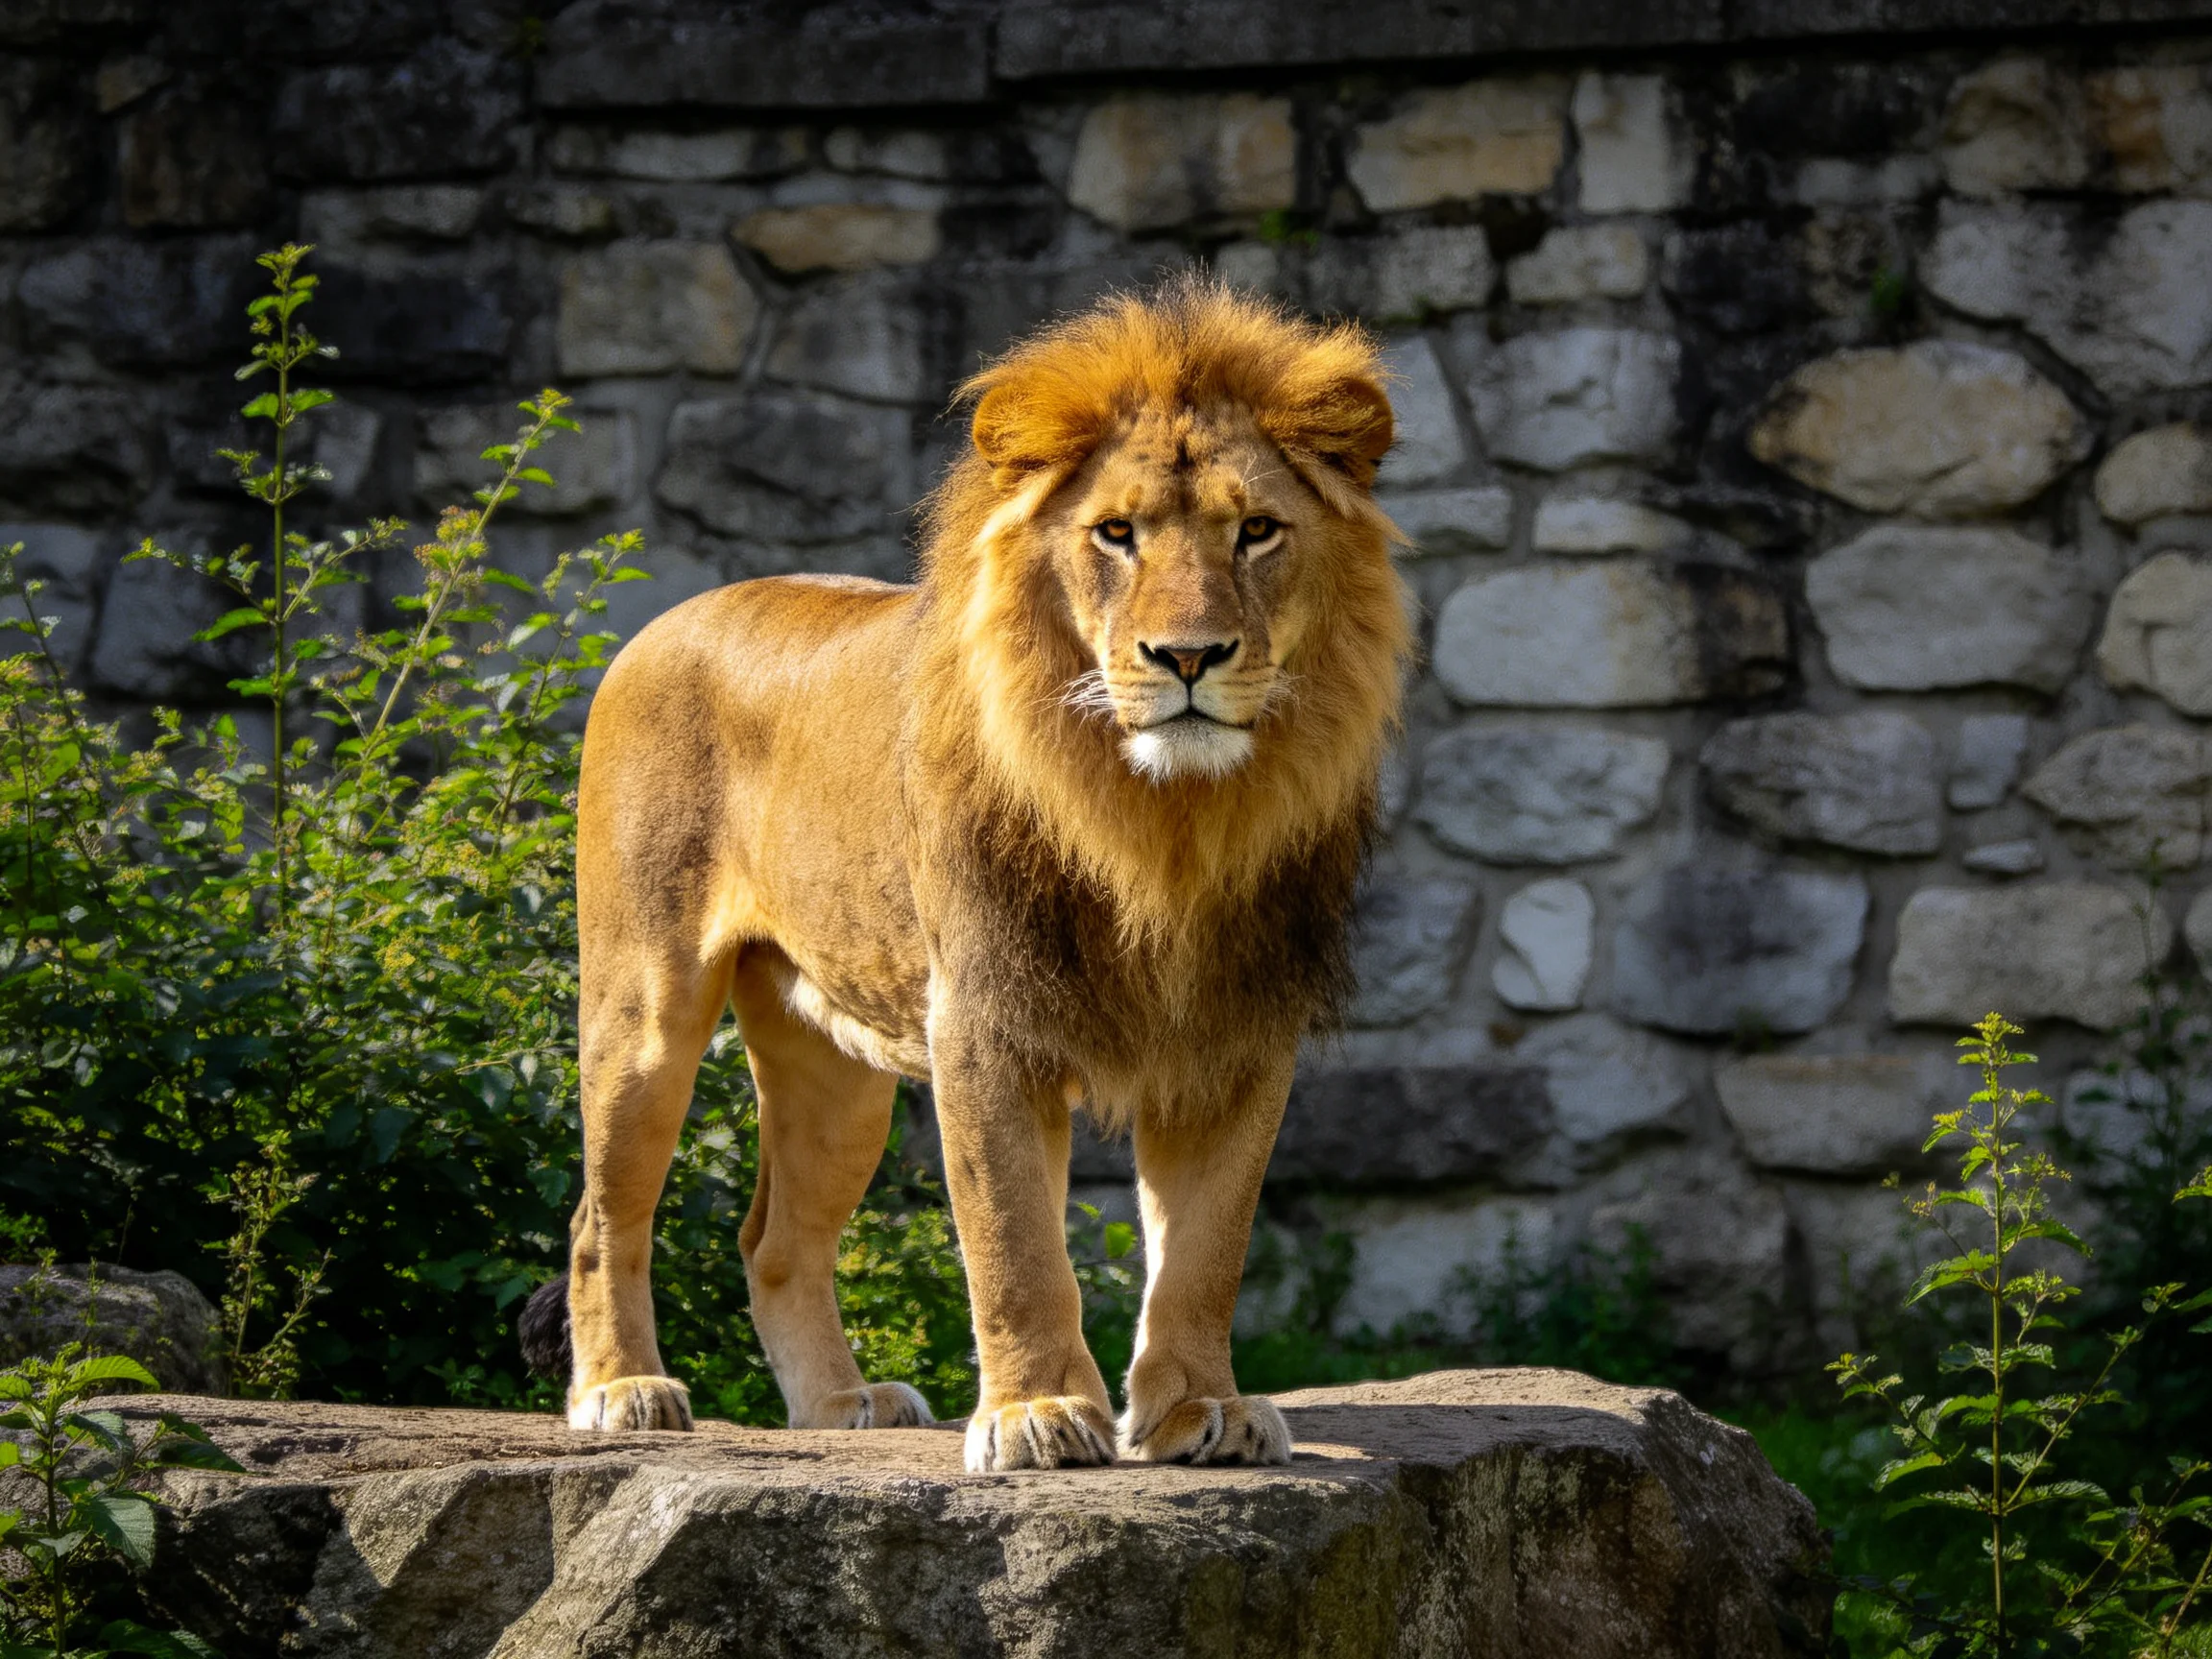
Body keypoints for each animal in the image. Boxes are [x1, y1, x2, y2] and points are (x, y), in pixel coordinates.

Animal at [519, 275, 1409, 1470]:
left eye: (1257, 532)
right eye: (1115, 534)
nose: (1187, 657)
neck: (1164, 823)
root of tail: (668, 617)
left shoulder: (1241, 1030)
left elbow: (1205, 1251)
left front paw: (1196, 1409)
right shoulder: (983, 1017)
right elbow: (1014, 1240)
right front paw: (1038, 1413)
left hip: (834, 1068)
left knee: (775, 1239)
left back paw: (839, 1404)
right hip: (645, 1005)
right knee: (601, 1214)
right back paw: (624, 1390)